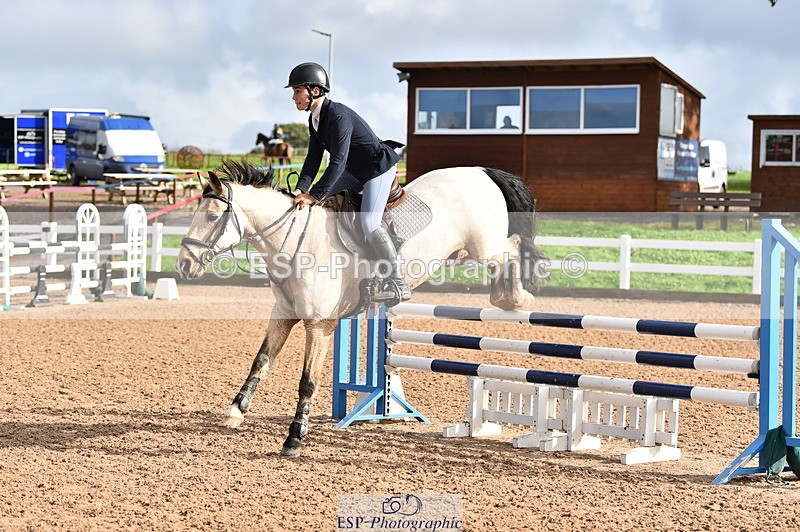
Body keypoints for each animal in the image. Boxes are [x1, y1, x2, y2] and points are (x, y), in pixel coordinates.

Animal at [176, 160, 546, 457]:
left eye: (212, 217)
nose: (183, 266)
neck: (295, 240)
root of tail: (482, 171)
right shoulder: (283, 316)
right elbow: (260, 362)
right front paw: (235, 412)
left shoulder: (319, 325)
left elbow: (307, 381)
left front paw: (293, 439)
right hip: (468, 251)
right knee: (505, 258)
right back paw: (505, 296)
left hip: (484, 246)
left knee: (514, 249)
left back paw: (516, 298)